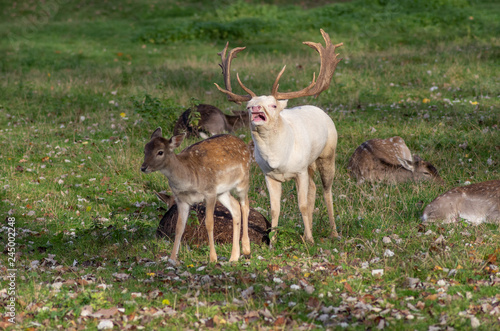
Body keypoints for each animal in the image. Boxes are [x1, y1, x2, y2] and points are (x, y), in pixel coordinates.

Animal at [140, 128, 250, 264]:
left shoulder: (210, 193)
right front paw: (172, 258)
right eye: (145, 149)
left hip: (243, 181)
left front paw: (213, 258)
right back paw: (234, 257)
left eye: (160, 152)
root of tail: (244, 144)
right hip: (222, 192)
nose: (143, 167)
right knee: (235, 207)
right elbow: (179, 227)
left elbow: (209, 223)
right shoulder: (181, 200)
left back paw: (246, 249)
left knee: (245, 206)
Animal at [215, 29, 344, 244]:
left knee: (327, 190)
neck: (278, 159)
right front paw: (272, 241)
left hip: (328, 153)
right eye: (248, 106)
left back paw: (333, 232)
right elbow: (275, 208)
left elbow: (302, 205)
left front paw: (310, 240)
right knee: (314, 189)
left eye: (273, 105)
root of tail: (320, 110)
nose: (256, 108)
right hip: (310, 164)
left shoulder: (299, 170)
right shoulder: (269, 174)